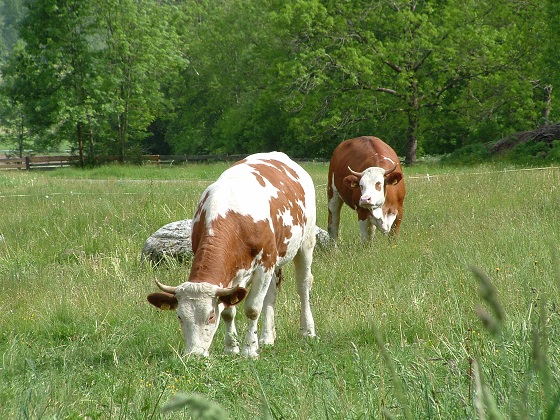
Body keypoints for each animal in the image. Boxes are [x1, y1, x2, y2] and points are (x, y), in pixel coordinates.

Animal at [147, 152, 318, 358]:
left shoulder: (264, 264)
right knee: (271, 295)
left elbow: (252, 308)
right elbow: (229, 311)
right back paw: (267, 338)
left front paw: (249, 350)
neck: (231, 216)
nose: (194, 355)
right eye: (180, 316)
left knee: (303, 286)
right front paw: (232, 348)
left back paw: (308, 331)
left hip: (305, 243)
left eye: (211, 316)